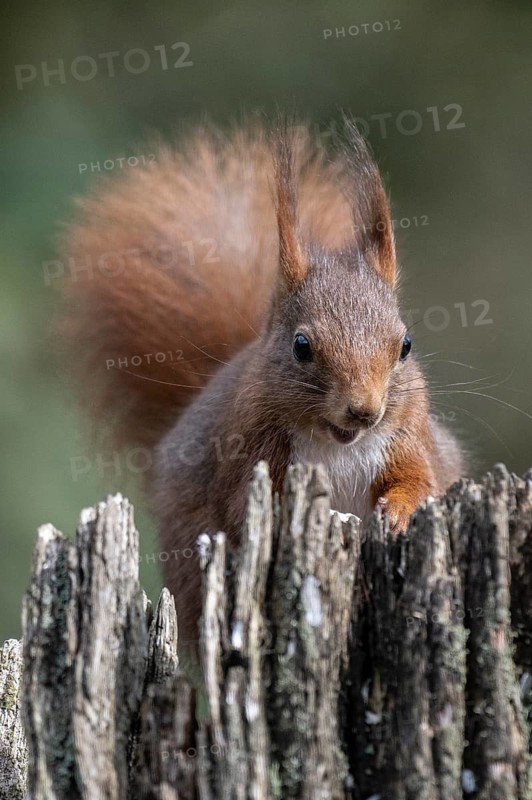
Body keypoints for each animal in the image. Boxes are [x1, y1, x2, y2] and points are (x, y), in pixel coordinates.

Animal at [61, 118, 465, 649]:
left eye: (406, 346)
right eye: (301, 346)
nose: (364, 410)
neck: (335, 445)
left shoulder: (408, 438)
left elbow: (421, 481)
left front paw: (396, 512)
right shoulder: (249, 452)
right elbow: (247, 510)